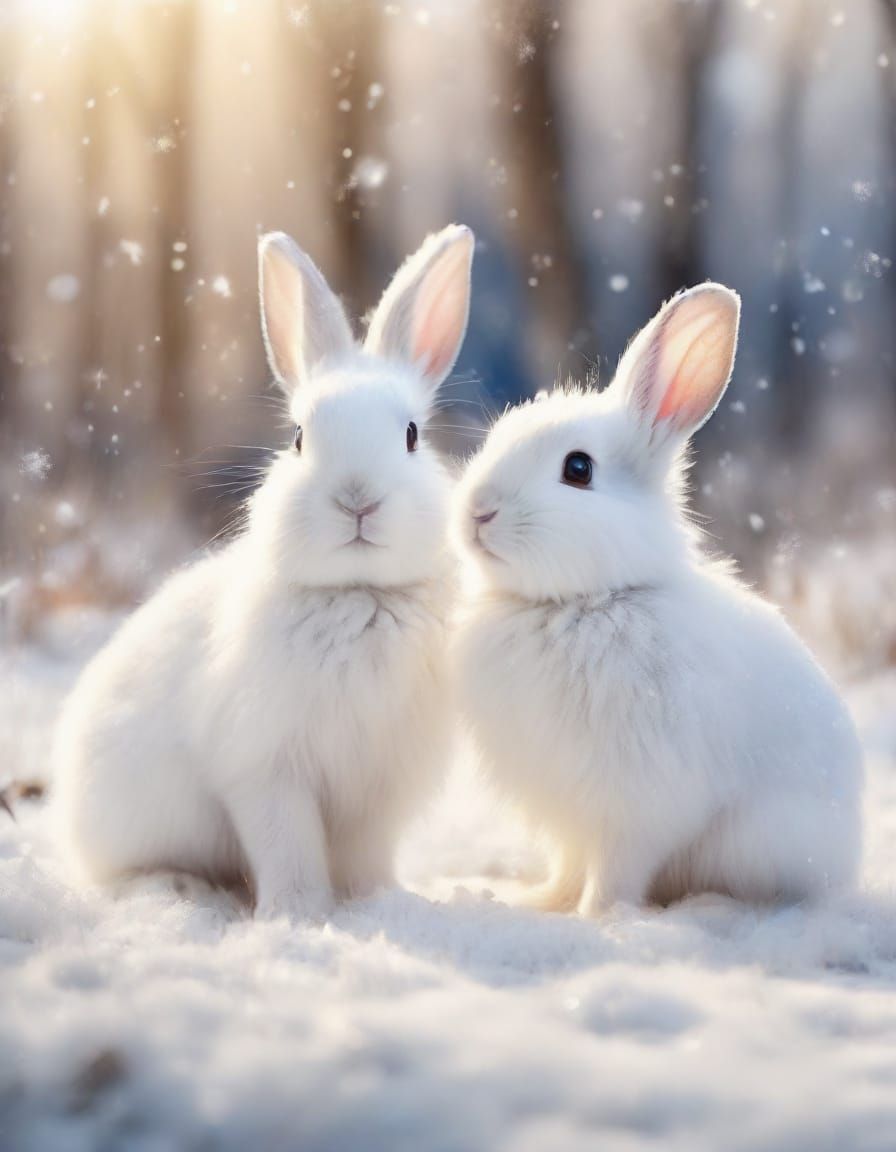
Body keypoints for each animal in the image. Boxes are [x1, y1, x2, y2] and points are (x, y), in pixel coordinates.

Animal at [53, 223, 475, 920]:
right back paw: (176, 888)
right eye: (299, 438)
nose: (356, 499)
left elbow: (366, 855)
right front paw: (299, 914)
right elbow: (288, 846)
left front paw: (380, 903)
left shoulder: (378, 789)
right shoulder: (265, 770)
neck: (358, 595)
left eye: (413, 434)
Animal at [451, 284, 863, 914]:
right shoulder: (570, 817)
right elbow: (570, 864)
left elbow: (615, 870)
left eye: (578, 468)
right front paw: (543, 904)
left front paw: (597, 917)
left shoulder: (636, 808)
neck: (584, 602)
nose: (478, 511)